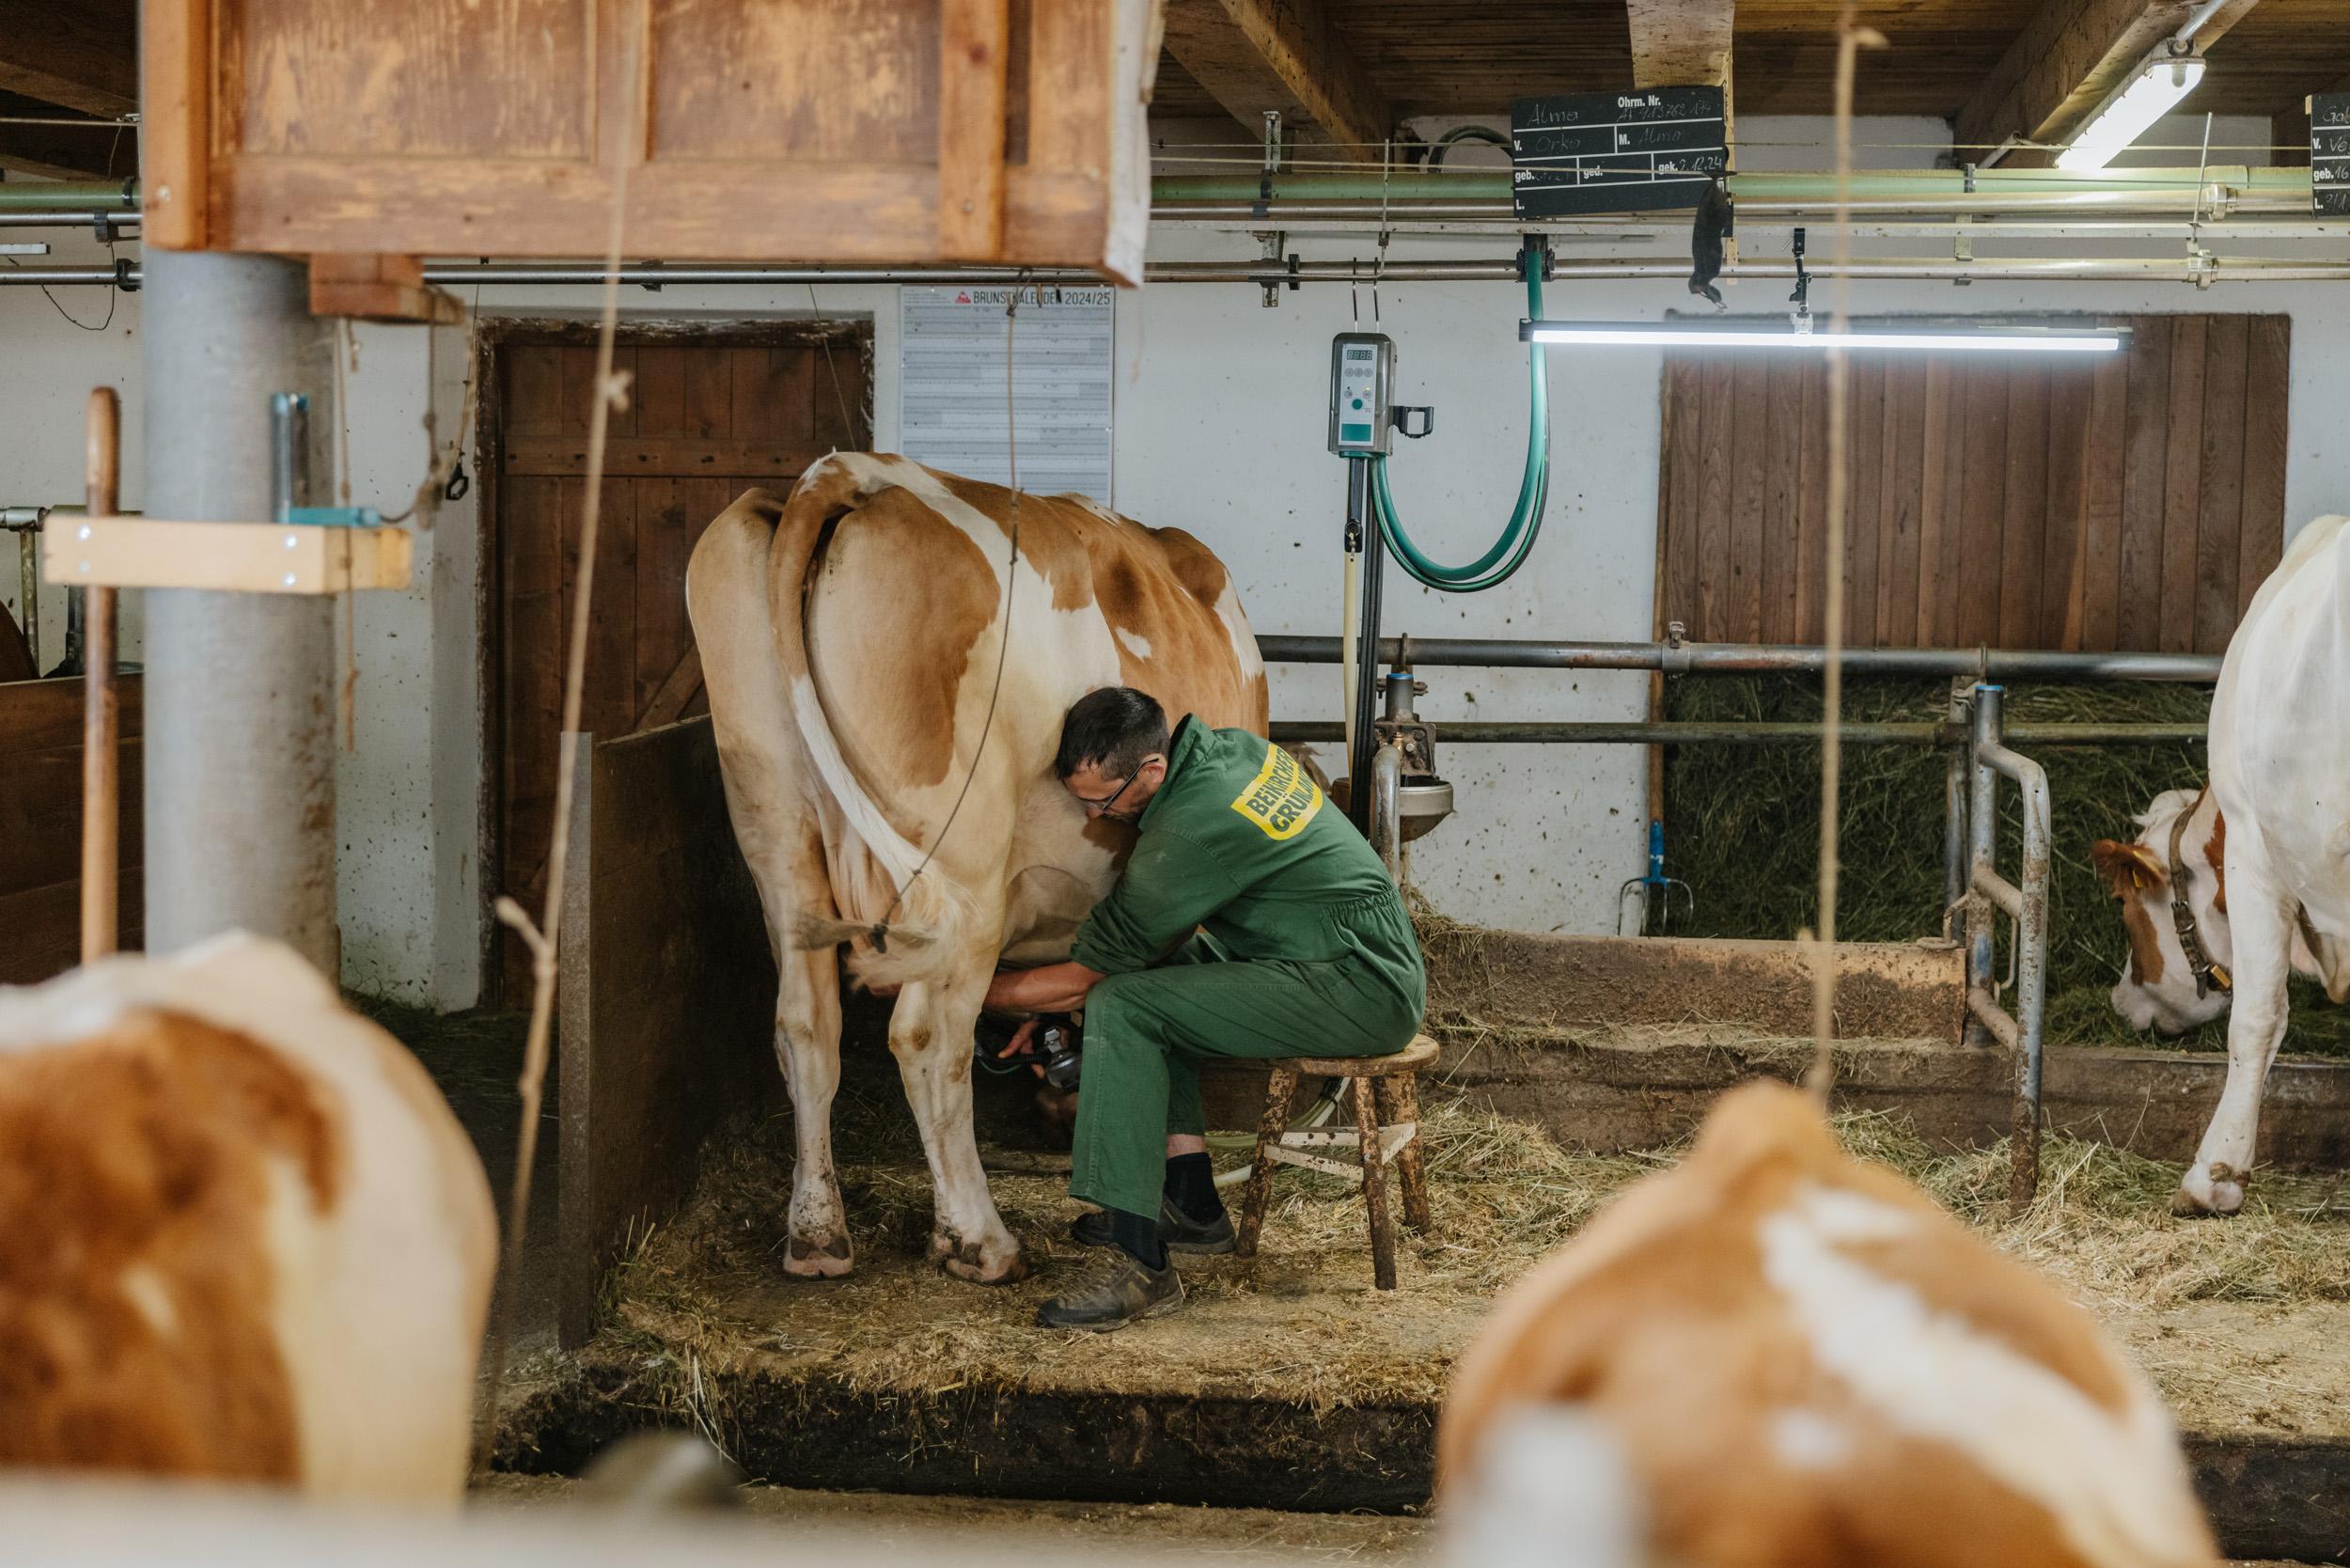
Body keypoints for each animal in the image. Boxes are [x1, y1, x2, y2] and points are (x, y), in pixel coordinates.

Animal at [686, 453, 1267, 1285]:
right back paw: (979, 1241)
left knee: (805, 1025)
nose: (1054, 1119)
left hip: (776, 837)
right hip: (961, 864)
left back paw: (817, 1236)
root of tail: (849, 472)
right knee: (929, 1038)